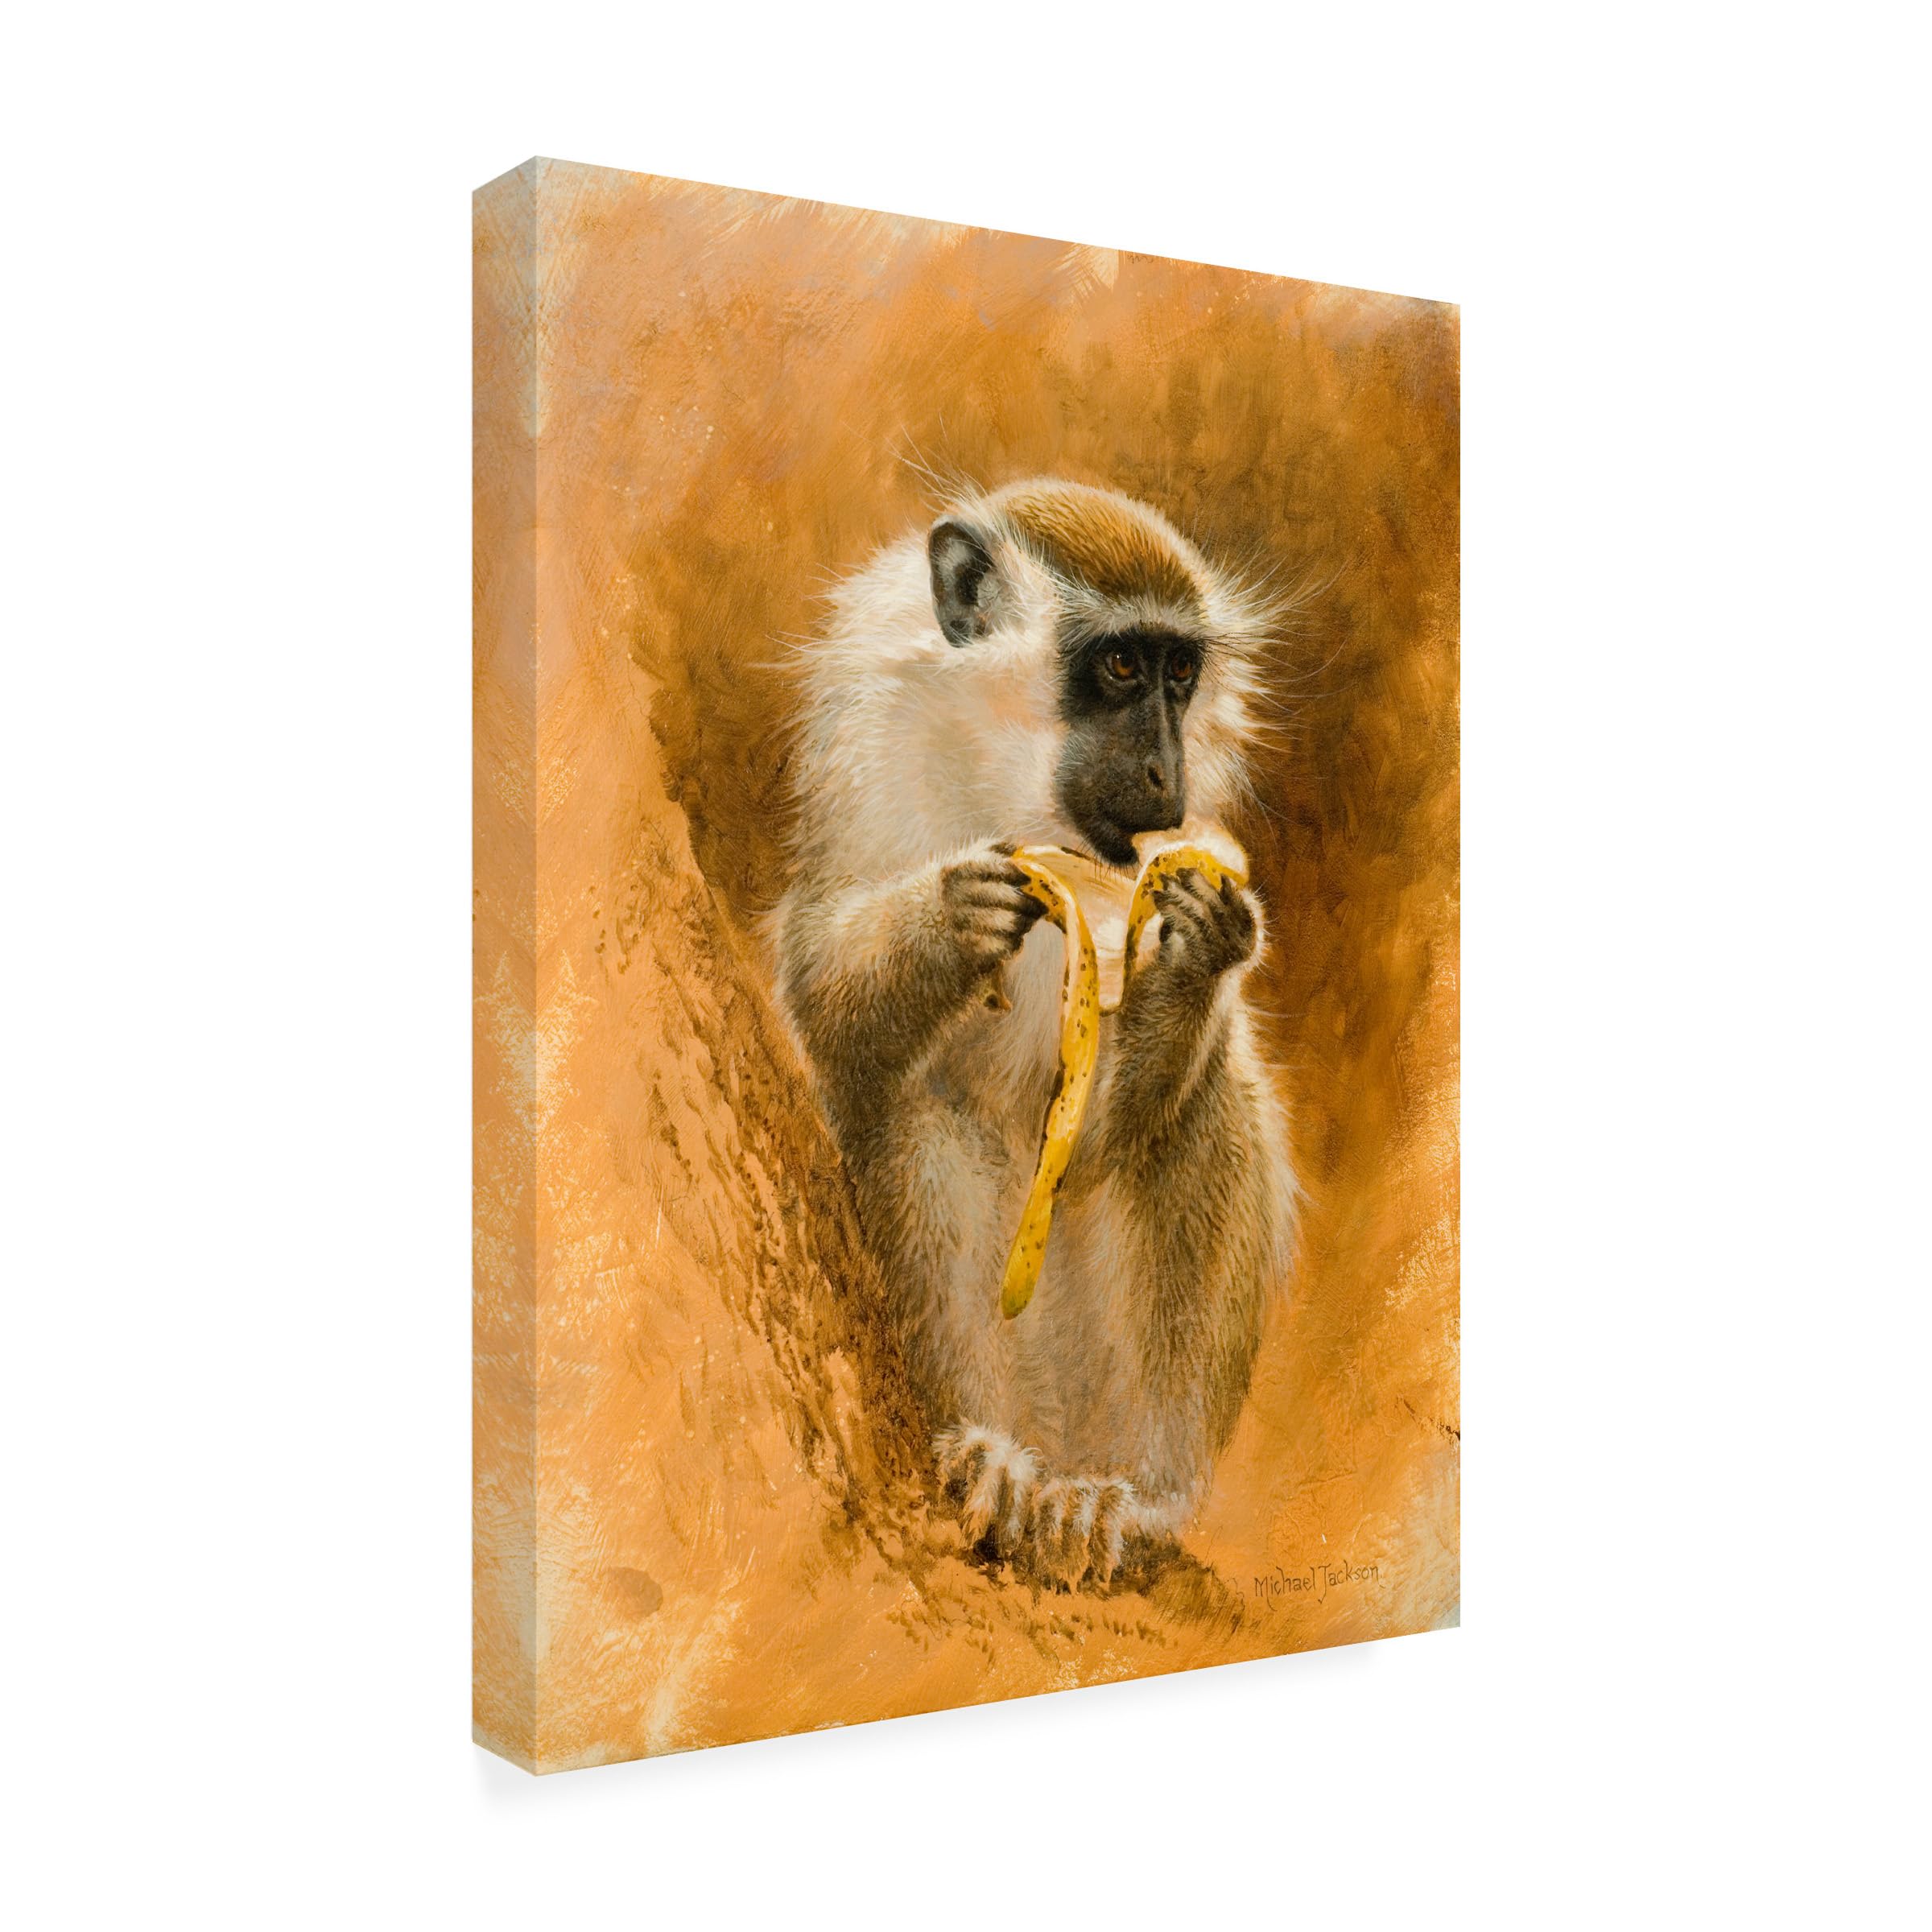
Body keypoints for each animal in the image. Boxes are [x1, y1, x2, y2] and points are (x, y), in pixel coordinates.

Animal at [772, 478, 1298, 1589]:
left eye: (1180, 672)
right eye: (1118, 667)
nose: (1164, 771)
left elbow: (1098, 1139)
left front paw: (1202, 948)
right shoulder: (866, 743)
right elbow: (825, 996)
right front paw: (951, 915)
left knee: (1203, 1110)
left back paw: (1134, 1495)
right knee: (926, 1111)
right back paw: (992, 1449)